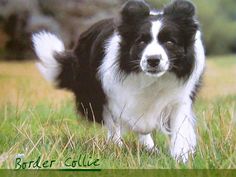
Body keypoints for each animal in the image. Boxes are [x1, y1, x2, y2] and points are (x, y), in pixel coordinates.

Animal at [32, 0, 205, 162]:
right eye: (141, 41)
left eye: (170, 42)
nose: (153, 60)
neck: (150, 79)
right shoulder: (111, 94)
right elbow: (115, 121)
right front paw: (117, 147)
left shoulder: (179, 97)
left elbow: (179, 127)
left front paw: (181, 158)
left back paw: (149, 147)